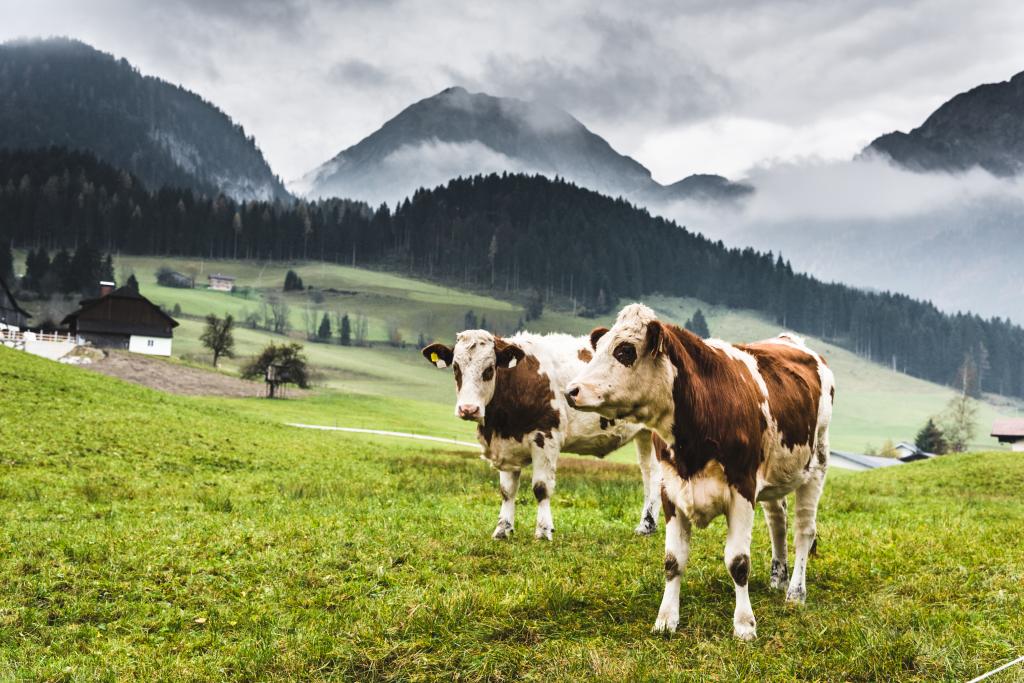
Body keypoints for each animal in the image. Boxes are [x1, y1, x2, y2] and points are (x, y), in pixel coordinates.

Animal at [419, 327, 659, 540]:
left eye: (489, 369)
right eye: (456, 368)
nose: (468, 409)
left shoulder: (546, 438)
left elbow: (541, 488)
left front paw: (543, 531)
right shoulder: (507, 444)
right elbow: (507, 490)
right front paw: (502, 529)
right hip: (644, 436)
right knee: (648, 473)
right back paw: (646, 526)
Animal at [565, 305, 835, 643]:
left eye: (625, 351)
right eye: (599, 347)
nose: (571, 391)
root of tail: (792, 341)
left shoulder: (743, 488)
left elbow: (738, 562)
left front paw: (744, 624)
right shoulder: (670, 489)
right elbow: (673, 561)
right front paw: (666, 619)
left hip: (816, 465)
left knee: (804, 531)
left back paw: (796, 592)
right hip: (775, 473)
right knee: (778, 522)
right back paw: (778, 577)